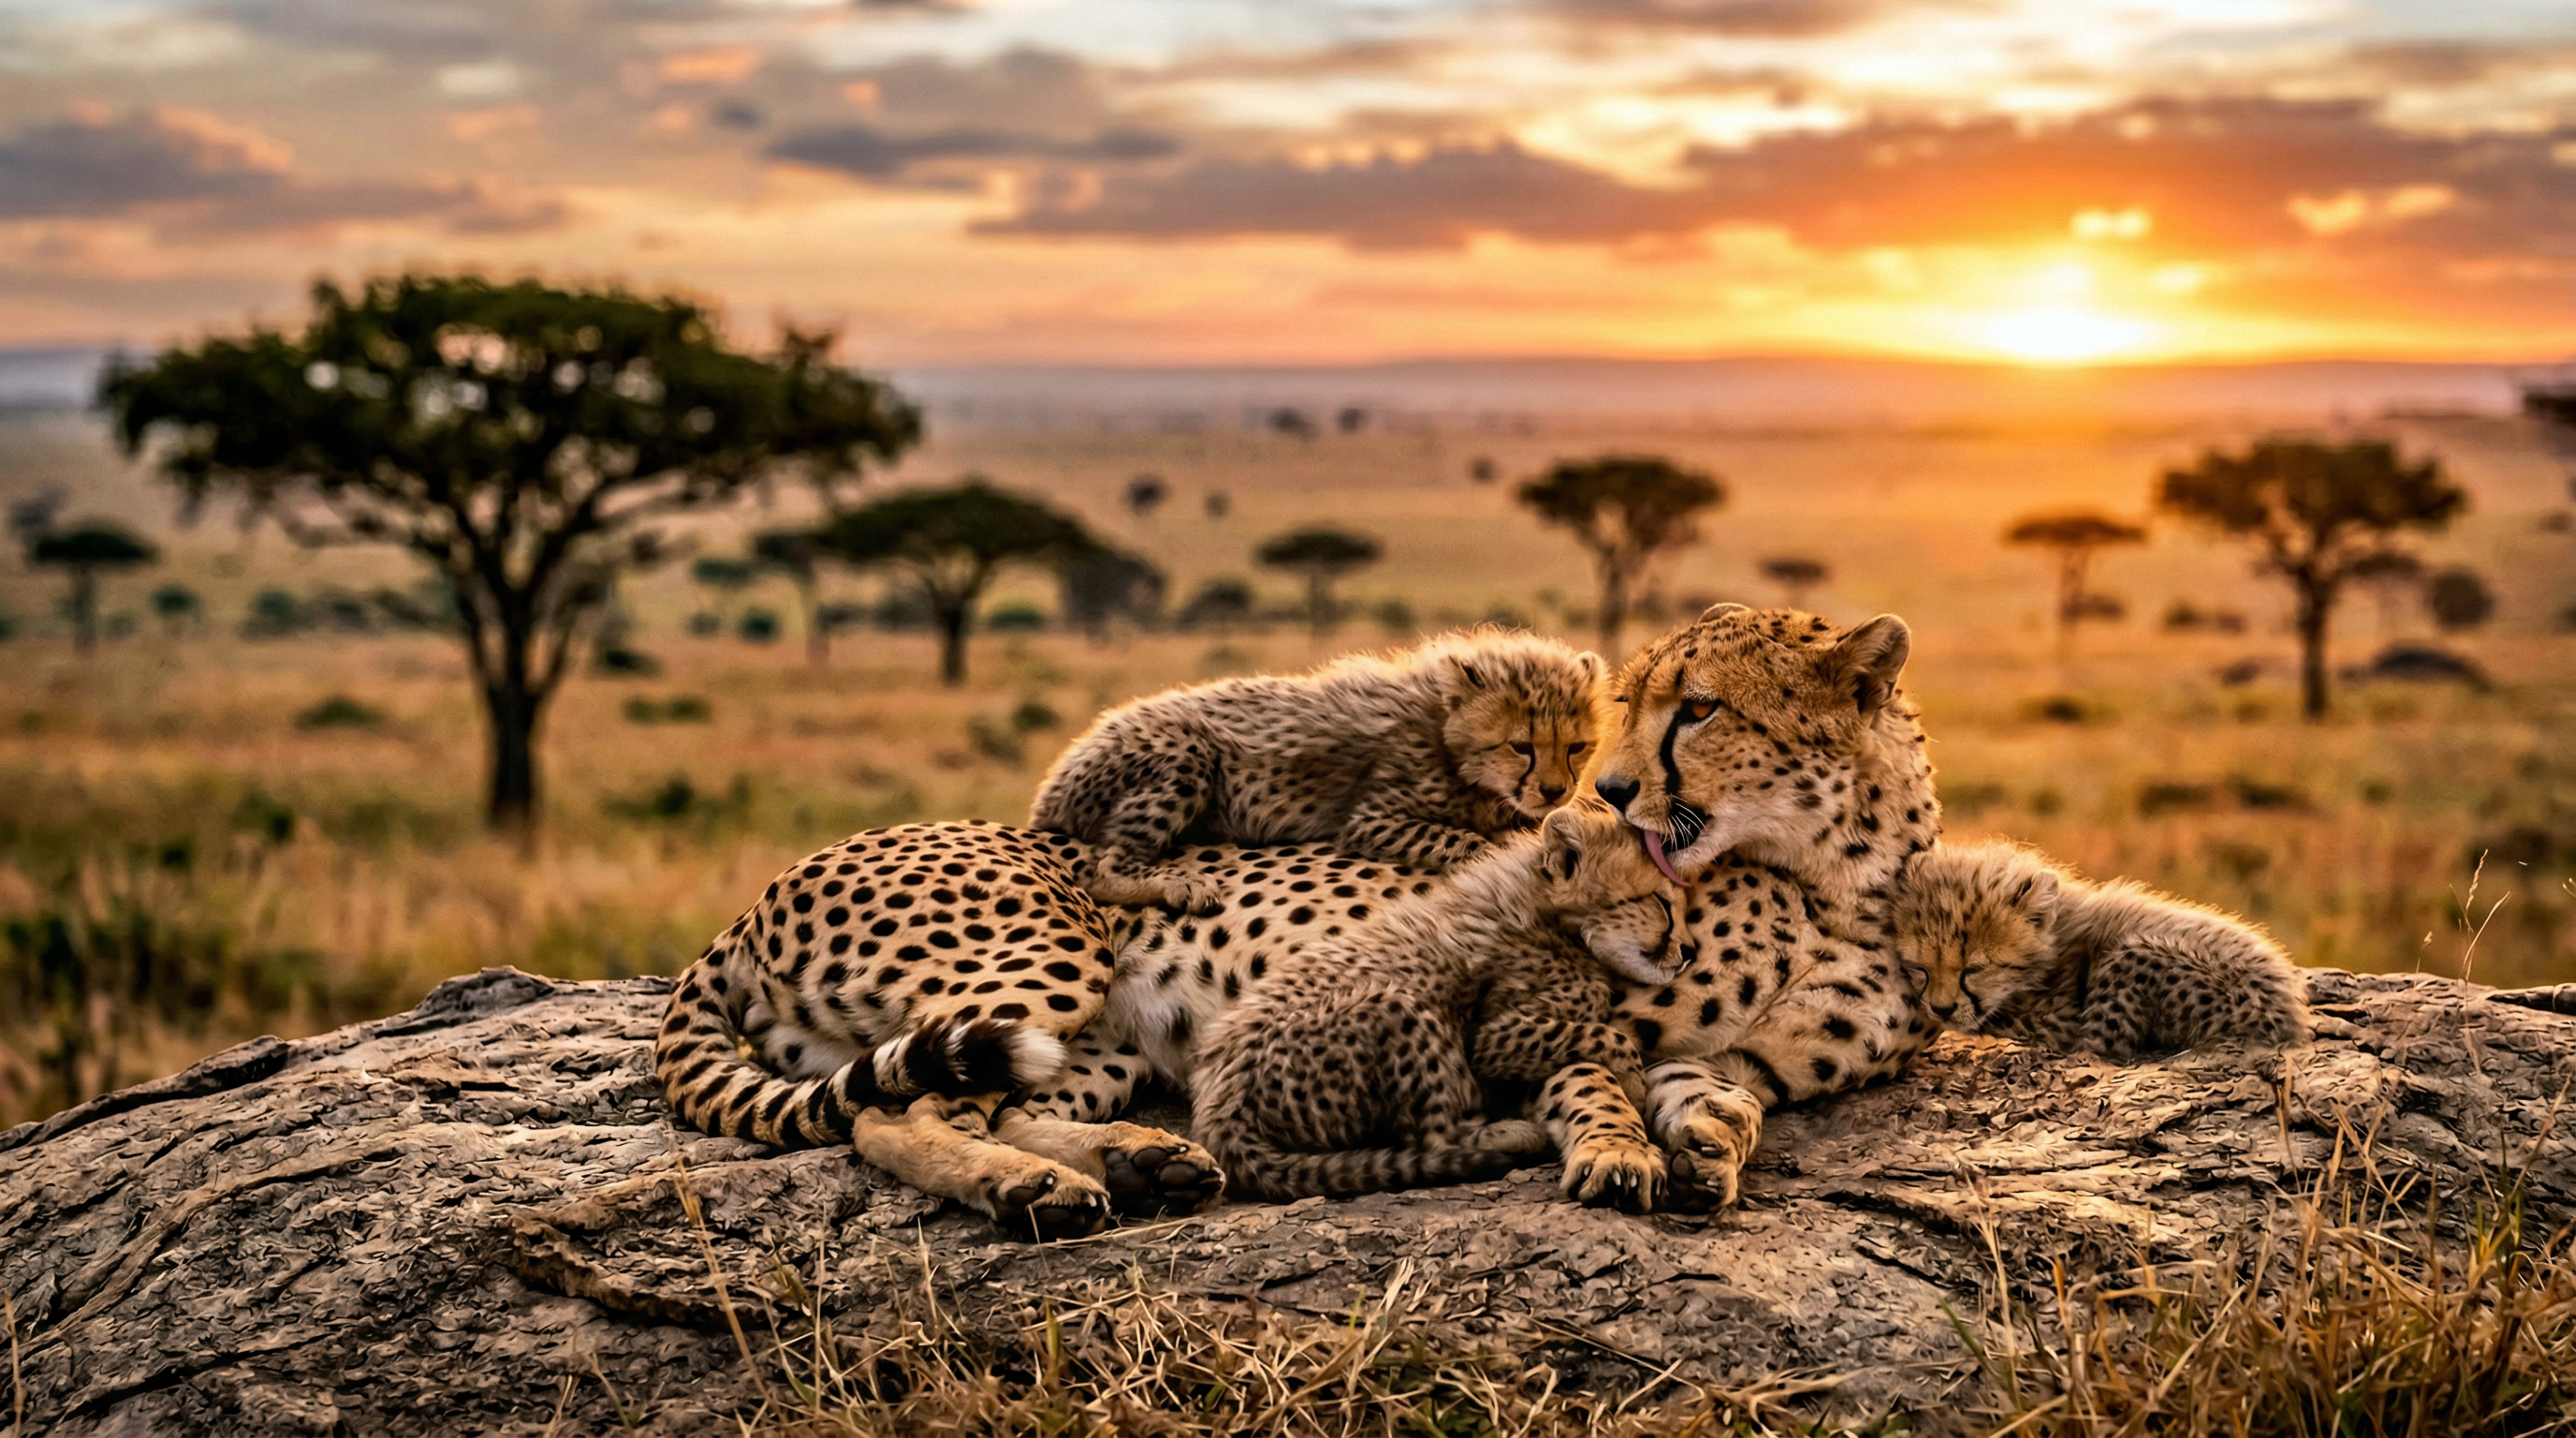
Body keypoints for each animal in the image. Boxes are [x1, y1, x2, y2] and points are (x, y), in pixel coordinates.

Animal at [655, 821, 1225, 1241]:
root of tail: (747, 914)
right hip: (1065, 951)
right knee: (900, 1116)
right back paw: (1041, 1186)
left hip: (1107, 1043)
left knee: (999, 1113)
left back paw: (1142, 1163)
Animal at [1029, 629, 1605, 915]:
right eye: (1521, 747)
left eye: (1576, 748)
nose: (1555, 790)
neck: (1445, 730)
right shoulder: (1371, 820)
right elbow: (1465, 840)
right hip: (1185, 752)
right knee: (1101, 871)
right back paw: (1177, 885)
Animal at [1188, 801, 1681, 1205]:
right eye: (1662, 903)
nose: (1684, 955)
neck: (1549, 912)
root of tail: (1220, 1106)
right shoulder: (1492, 1038)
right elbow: (1608, 1035)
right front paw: (1634, 1085)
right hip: (1396, 1007)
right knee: (1431, 1139)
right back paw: (1511, 1133)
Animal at [1586, 603, 1947, 1210]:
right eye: (1626, 704)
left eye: (1700, 709)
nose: (1609, 789)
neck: (1838, 888)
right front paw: (1620, 1154)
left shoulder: (1742, 1060)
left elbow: (1715, 1087)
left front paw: (1711, 1139)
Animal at [1891, 840, 2311, 1060]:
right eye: (1920, 968)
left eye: (1974, 969)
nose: (1941, 1009)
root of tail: (2288, 1014)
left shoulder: (2056, 1019)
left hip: (2135, 956)